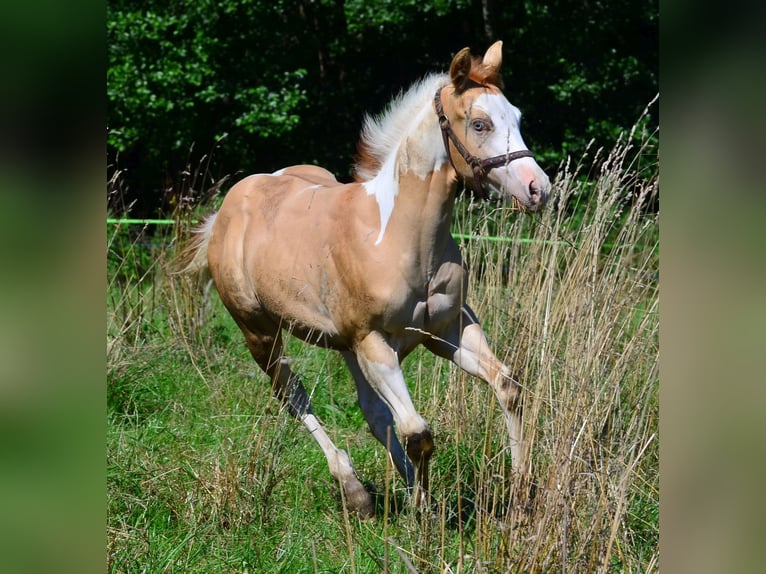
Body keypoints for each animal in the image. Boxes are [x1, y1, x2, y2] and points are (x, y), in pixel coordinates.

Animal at [176, 41, 550, 517]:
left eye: (517, 117)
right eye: (480, 123)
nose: (539, 189)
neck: (401, 238)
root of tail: (226, 211)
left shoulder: (447, 330)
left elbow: (507, 387)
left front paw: (519, 494)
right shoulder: (374, 341)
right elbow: (418, 433)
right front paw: (422, 512)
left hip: (343, 343)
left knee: (372, 410)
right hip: (261, 333)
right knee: (293, 396)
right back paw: (354, 489)